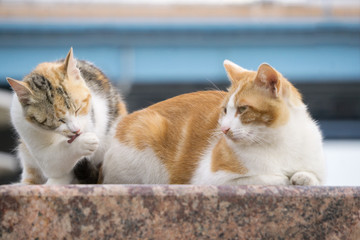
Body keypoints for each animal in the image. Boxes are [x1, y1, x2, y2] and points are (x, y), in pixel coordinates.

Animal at [7, 47, 127, 185]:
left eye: (78, 109)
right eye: (59, 120)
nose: (76, 130)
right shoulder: (25, 127)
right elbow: (53, 161)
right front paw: (83, 143)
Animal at [102, 60, 326, 186]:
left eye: (242, 109)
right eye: (225, 110)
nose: (224, 129)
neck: (278, 143)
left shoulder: (315, 171)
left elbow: (312, 178)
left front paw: (301, 177)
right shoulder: (212, 178)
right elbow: (270, 178)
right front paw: (285, 178)